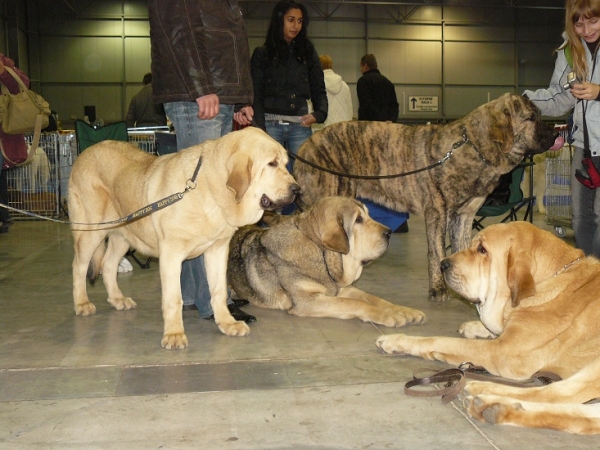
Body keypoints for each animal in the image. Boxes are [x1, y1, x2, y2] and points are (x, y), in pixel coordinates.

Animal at [69, 126, 300, 348]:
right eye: (272, 163)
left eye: (285, 163)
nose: (297, 189)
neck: (211, 189)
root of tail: (84, 154)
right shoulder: (171, 256)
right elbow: (174, 299)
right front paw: (174, 334)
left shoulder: (217, 251)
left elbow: (218, 291)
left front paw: (227, 323)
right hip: (92, 230)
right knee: (79, 266)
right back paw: (82, 303)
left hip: (124, 236)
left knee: (108, 265)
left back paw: (118, 299)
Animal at [226, 197, 426, 326]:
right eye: (358, 220)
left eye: (368, 215)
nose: (389, 232)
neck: (322, 254)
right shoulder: (308, 301)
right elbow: (356, 304)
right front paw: (388, 316)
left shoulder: (345, 289)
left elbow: (374, 299)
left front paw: (404, 310)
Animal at [378, 223, 600, 434]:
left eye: (482, 250)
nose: (443, 264)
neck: (547, 281)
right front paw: (475, 326)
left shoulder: (501, 352)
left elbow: (443, 341)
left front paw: (397, 340)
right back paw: (496, 408)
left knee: (556, 392)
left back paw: (481, 388)